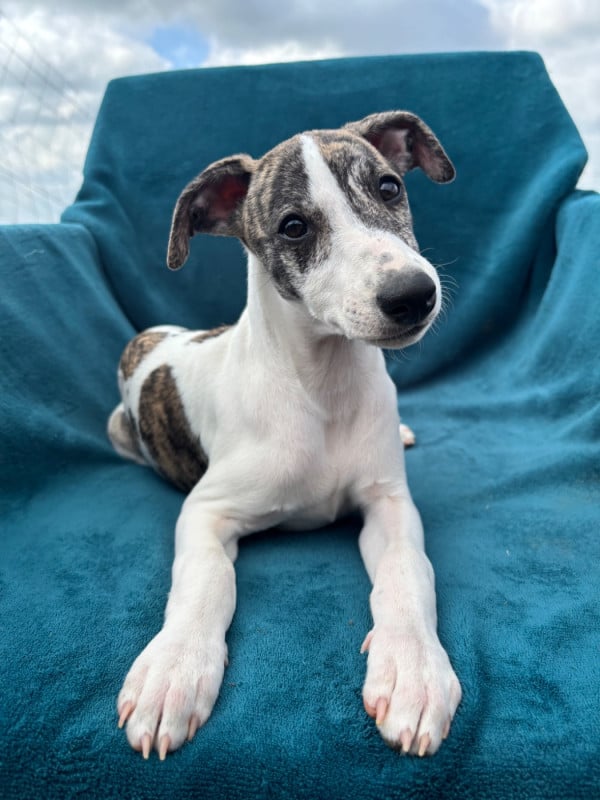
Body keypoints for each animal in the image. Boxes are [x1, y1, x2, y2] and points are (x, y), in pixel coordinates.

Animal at [108, 110, 462, 760]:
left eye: (389, 187)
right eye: (293, 226)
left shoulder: (389, 504)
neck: (322, 389)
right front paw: (173, 669)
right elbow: (206, 579)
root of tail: (156, 333)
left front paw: (414, 670)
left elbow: (408, 571)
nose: (413, 295)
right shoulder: (207, 510)